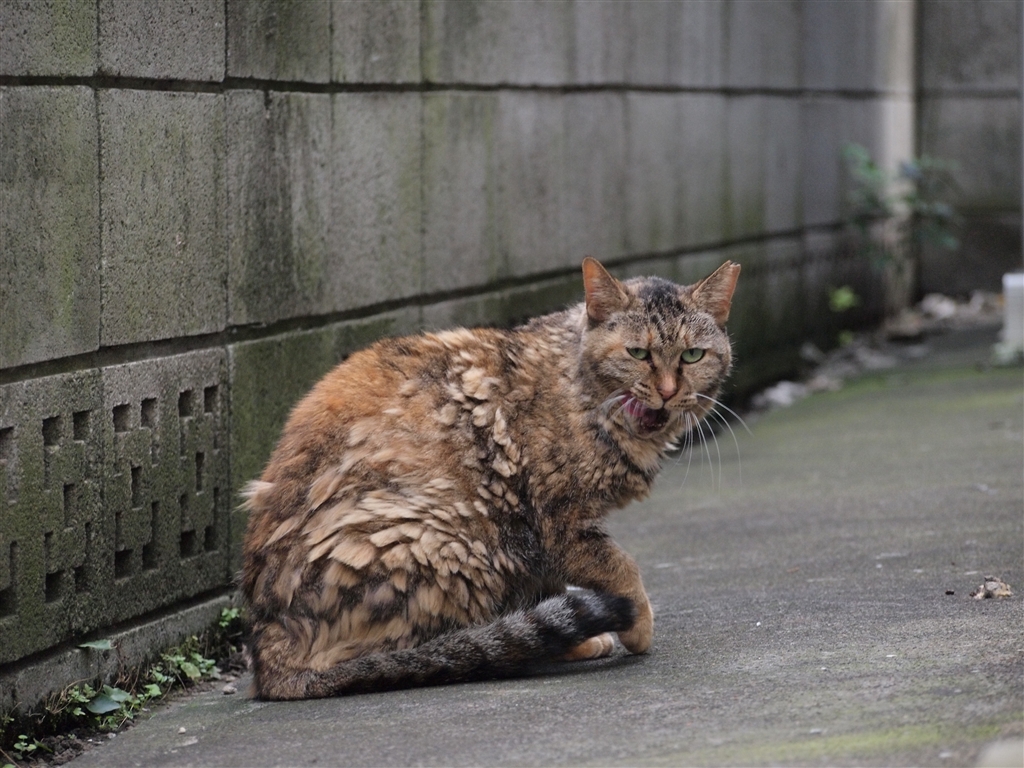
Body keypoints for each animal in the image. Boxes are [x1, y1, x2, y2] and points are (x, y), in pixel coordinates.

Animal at [240, 257, 740, 700]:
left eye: (692, 356)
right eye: (638, 353)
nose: (668, 392)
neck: (579, 386)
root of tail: (268, 650)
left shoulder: (535, 537)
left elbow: (552, 585)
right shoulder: (559, 523)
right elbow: (621, 567)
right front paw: (637, 624)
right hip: (444, 539)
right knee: (421, 653)